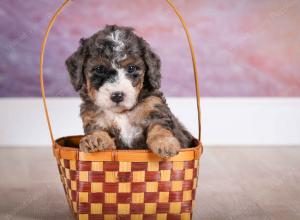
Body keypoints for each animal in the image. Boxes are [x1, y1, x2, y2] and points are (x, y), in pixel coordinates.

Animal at [65, 24, 197, 157]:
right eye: (99, 69)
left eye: (131, 68)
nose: (117, 96)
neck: (121, 113)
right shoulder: (94, 119)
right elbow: (99, 132)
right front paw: (94, 139)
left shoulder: (154, 107)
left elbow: (159, 128)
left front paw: (165, 143)